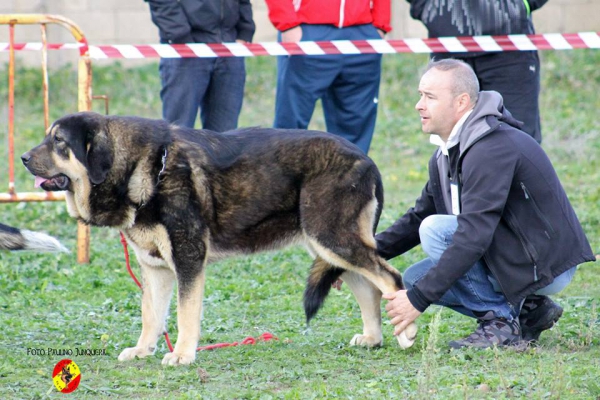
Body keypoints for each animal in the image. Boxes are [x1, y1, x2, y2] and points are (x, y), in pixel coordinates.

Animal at [23, 111, 418, 366]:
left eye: (58, 142)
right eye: (47, 137)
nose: (25, 158)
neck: (147, 168)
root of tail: (366, 158)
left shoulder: (188, 259)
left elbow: (185, 314)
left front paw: (182, 355)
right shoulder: (155, 268)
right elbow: (151, 315)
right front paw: (143, 350)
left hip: (332, 238)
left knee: (390, 278)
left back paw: (405, 334)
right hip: (330, 245)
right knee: (369, 288)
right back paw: (373, 338)